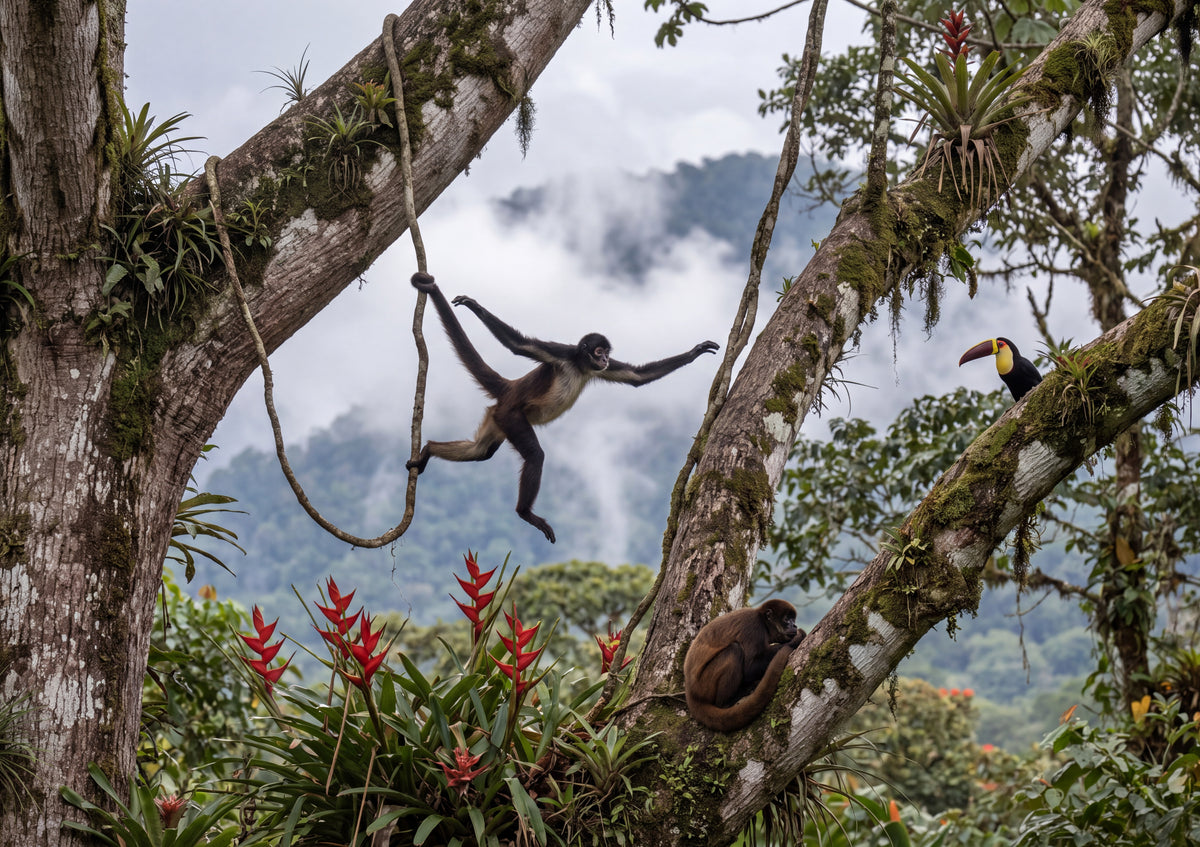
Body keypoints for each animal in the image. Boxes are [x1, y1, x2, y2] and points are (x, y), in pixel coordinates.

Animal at [406, 272, 719, 544]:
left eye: (607, 353)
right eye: (598, 351)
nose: (604, 359)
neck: (580, 366)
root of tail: (510, 388)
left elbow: (637, 377)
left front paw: (694, 352)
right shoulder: (563, 354)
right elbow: (519, 345)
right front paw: (475, 306)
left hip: (497, 419)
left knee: (480, 451)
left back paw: (429, 449)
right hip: (511, 414)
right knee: (534, 455)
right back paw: (525, 513)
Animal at [683, 599, 806, 732]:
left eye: (793, 619)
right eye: (787, 619)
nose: (794, 625)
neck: (762, 621)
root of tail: (691, 691)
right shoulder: (754, 628)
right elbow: (749, 670)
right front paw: (798, 638)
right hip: (704, 684)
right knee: (734, 650)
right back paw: (726, 702)